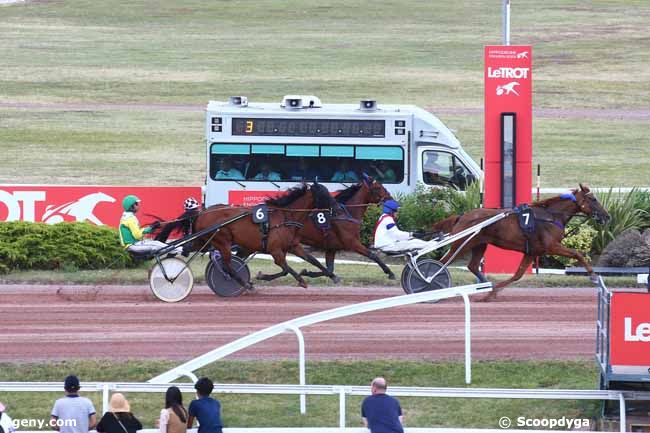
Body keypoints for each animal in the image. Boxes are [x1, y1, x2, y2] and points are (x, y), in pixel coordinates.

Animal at [430, 183, 608, 300]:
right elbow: (577, 254)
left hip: (480, 244)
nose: (607, 216)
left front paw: (492, 292)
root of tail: (462, 216)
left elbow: (518, 275)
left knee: (472, 265)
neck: (550, 216)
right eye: (593, 199)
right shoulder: (551, 246)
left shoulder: (532, 251)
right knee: (441, 263)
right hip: (462, 244)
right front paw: (593, 276)